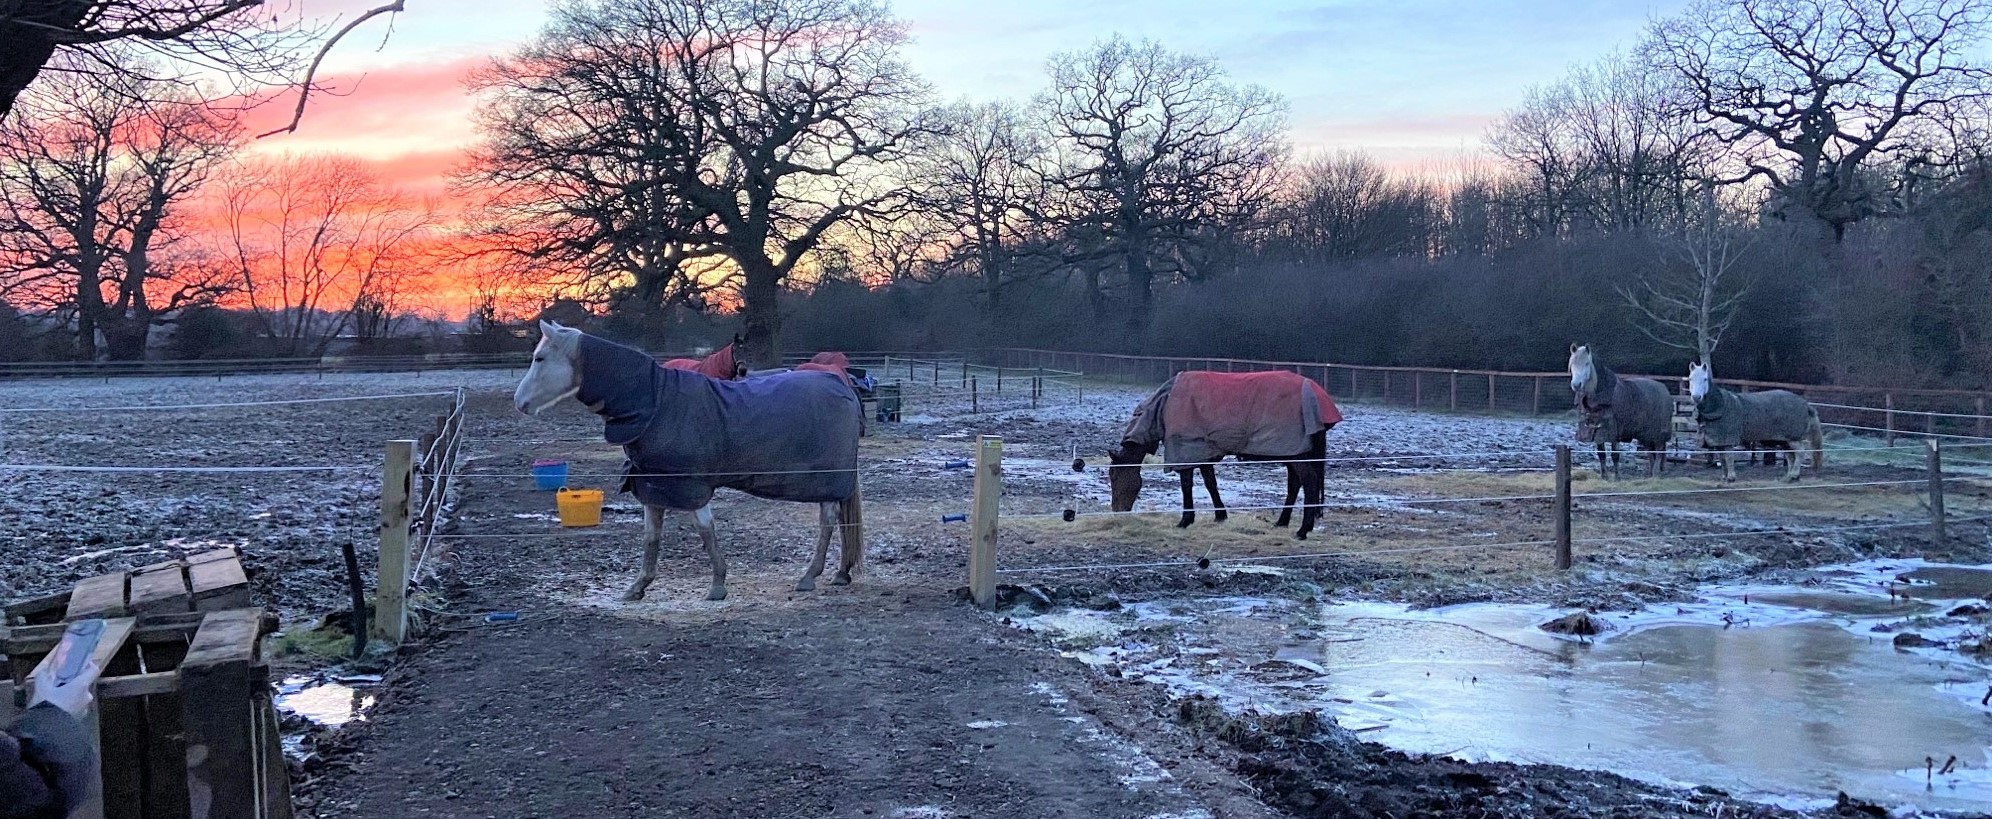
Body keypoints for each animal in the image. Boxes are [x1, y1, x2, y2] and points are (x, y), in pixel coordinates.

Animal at [509, 322, 860, 601]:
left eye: (540, 358)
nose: (519, 402)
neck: (656, 402)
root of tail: (841, 386)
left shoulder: (691, 487)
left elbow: (706, 531)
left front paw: (717, 585)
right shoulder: (653, 488)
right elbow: (651, 538)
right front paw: (637, 587)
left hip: (830, 482)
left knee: (829, 521)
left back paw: (810, 576)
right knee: (841, 521)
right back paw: (839, 573)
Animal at [1107, 370, 1338, 538]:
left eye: (1114, 476)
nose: (1117, 511)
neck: (1165, 402)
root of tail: (1316, 396)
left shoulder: (1186, 451)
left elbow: (1186, 485)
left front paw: (1185, 520)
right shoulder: (1203, 452)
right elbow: (1210, 483)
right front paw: (1220, 515)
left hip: (1296, 453)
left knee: (1309, 482)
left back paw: (1303, 529)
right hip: (1293, 451)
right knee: (1295, 484)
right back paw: (1282, 522)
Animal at [1561, 344, 1673, 480]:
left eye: (1587, 363)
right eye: (1572, 364)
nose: (1576, 385)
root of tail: (1665, 390)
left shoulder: (1614, 432)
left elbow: (1615, 455)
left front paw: (1617, 477)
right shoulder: (1597, 431)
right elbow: (1601, 454)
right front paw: (1604, 476)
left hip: (1657, 432)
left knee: (1659, 449)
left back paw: (1655, 473)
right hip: (1646, 434)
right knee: (1651, 452)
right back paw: (1651, 473)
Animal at [1681, 362, 1824, 484]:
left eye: (1705, 379)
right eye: (1690, 379)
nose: (1696, 397)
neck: (1720, 406)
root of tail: (1805, 404)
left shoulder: (1728, 439)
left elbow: (1729, 457)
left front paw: (1731, 477)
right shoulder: (1719, 441)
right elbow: (1722, 458)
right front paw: (1724, 477)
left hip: (1793, 437)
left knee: (1800, 452)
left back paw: (1794, 475)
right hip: (1784, 440)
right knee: (1790, 456)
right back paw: (1788, 477)